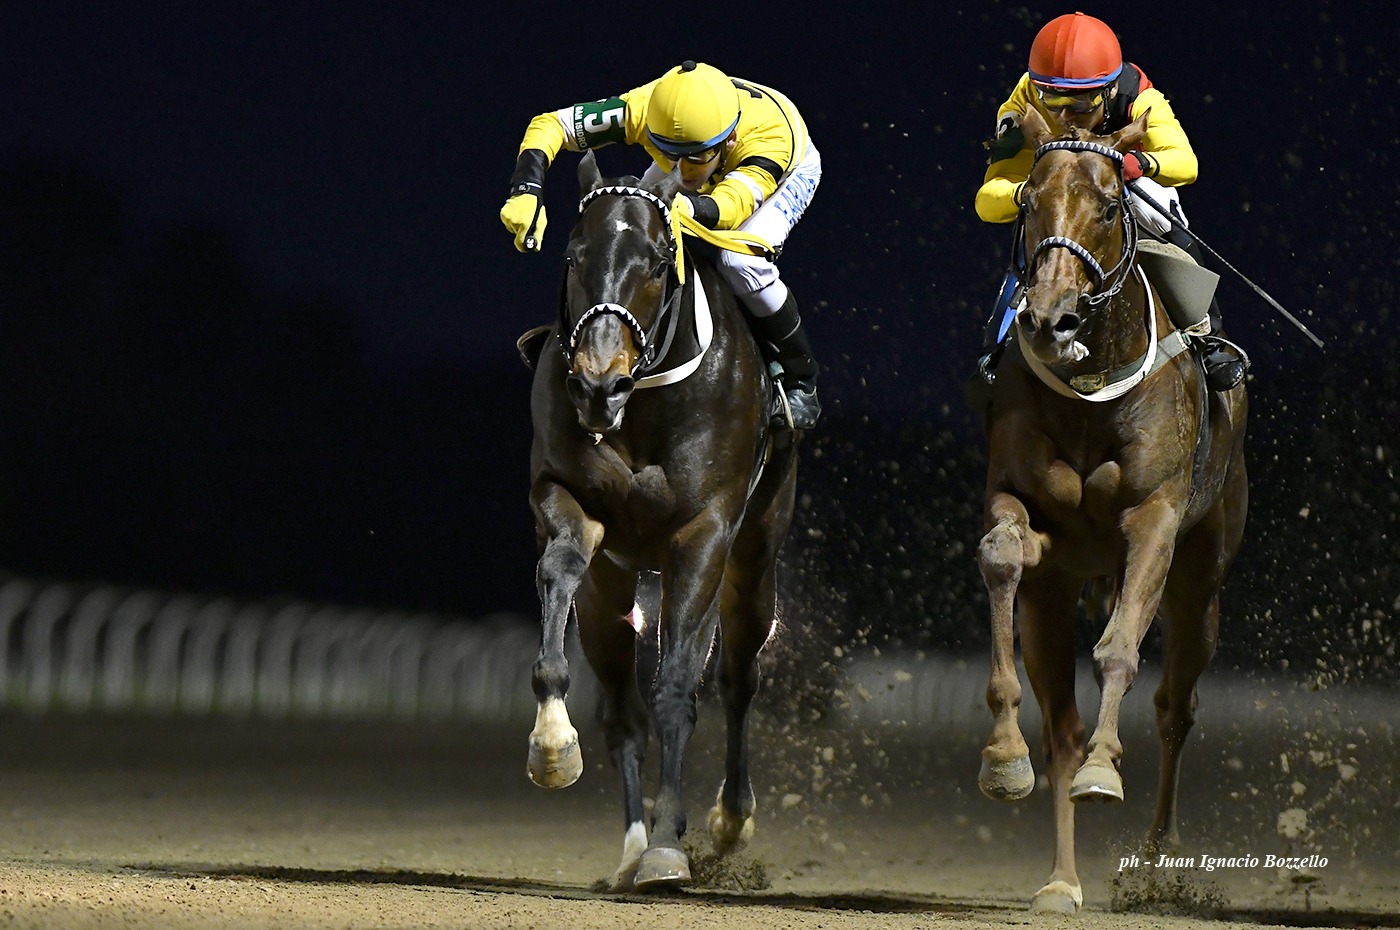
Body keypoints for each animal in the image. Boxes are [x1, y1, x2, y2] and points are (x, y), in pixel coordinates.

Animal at [524, 150, 801, 891]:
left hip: (754, 560)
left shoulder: (703, 534)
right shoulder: (571, 504)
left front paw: (671, 849)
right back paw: (630, 848)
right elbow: (560, 570)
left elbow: (678, 689)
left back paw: (728, 819)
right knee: (623, 711)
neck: (644, 402)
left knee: (737, 678)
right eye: (573, 253)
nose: (598, 383)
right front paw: (552, 744)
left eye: (655, 261)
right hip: (614, 589)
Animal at [974, 106, 1249, 912]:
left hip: (1202, 578)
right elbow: (1003, 555)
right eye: (1028, 202)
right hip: (1054, 598)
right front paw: (1004, 757)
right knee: (1061, 728)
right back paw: (1061, 880)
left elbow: (1121, 649)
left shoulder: (1154, 518)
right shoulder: (1025, 515)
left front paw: (1106, 769)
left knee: (1176, 705)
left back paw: (1159, 855)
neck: (1093, 384)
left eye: (1105, 206)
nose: (1049, 319)